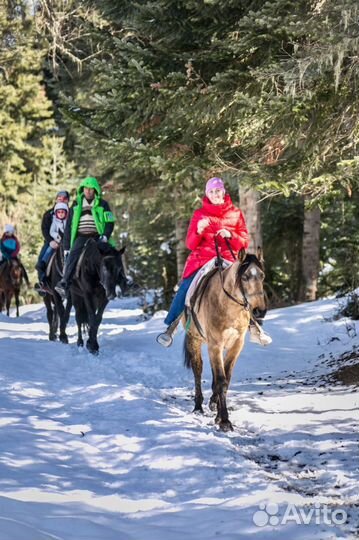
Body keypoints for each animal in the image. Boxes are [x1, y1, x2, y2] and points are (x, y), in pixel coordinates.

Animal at [186, 248, 268, 430]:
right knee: (197, 370)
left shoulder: (236, 344)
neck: (229, 307)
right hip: (194, 339)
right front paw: (224, 420)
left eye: (262, 275)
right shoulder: (215, 344)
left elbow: (226, 378)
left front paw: (218, 412)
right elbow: (221, 381)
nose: (259, 311)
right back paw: (198, 406)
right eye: (244, 277)